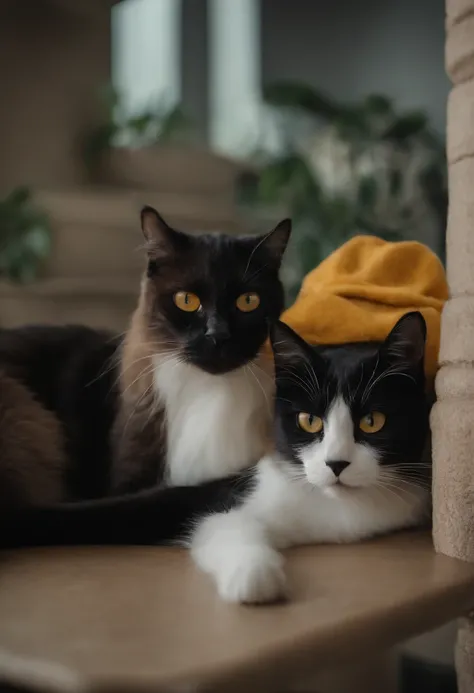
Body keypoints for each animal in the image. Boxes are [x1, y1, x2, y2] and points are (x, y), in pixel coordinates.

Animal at [191, 312, 432, 600]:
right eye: (309, 420)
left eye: (372, 421)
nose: (336, 464)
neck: (339, 509)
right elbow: (217, 521)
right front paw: (253, 574)